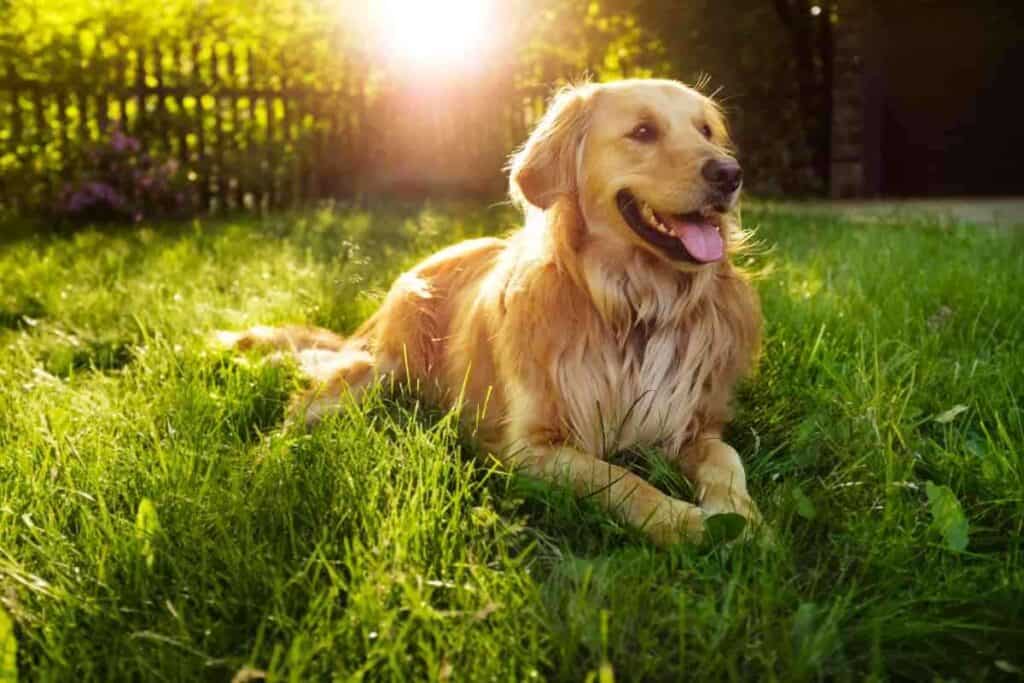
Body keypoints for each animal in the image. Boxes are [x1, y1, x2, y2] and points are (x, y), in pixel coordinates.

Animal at [220, 80, 765, 548]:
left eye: (706, 131)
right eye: (644, 131)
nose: (730, 174)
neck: (633, 307)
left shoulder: (693, 424)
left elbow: (727, 459)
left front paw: (743, 519)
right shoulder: (530, 447)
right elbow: (620, 478)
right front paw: (685, 522)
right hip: (373, 373)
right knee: (294, 417)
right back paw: (261, 468)